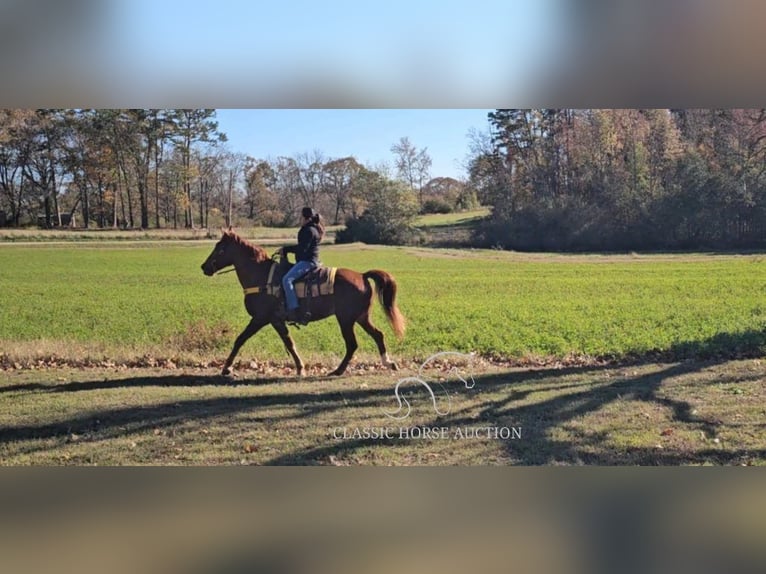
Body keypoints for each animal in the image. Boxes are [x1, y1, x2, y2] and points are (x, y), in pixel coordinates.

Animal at [200, 230, 408, 378]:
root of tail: (362, 275)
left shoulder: (260, 318)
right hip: (361, 317)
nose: (204, 267)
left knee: (352, 344)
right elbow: (290, 343)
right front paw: (300, 368)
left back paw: (337, 371)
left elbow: (240, 339)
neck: (260, 276)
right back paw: (388, 363)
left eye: (220, 248)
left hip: (346, 319)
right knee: (378, 335)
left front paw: (226, 368)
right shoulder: (276, 320)